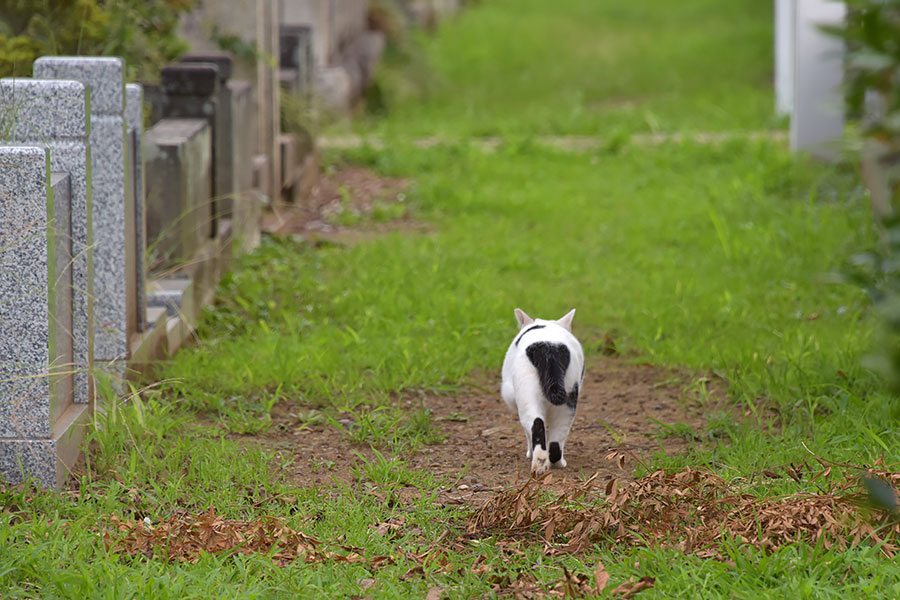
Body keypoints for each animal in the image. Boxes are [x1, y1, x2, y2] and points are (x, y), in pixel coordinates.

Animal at [500, 310, 584, 474]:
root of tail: (549, 348)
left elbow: (528, 434)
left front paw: (529, 453)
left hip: (527, 396)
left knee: (536, 424)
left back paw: (538, 463)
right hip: (568, 399)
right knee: (556, 440)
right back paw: (549, 463)